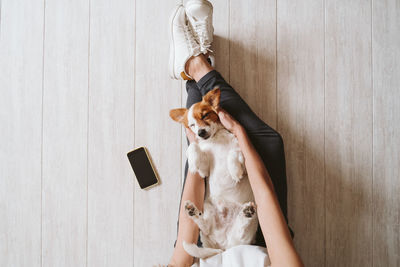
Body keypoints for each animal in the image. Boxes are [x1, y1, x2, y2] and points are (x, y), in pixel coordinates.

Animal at [170, 88, 258, 260]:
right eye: (191, 125)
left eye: (205, 116)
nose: (200, 132)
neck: (216, 140)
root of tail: (223, 247)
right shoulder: (204, 169)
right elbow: (193, 147)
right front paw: (193, 162)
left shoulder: (243, 156)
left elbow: (234, 153)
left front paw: (234, 171)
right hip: (208, 210)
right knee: (205, 226)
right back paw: (192, 211)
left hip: (250, 228)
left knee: (242, 229)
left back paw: (246, 213)